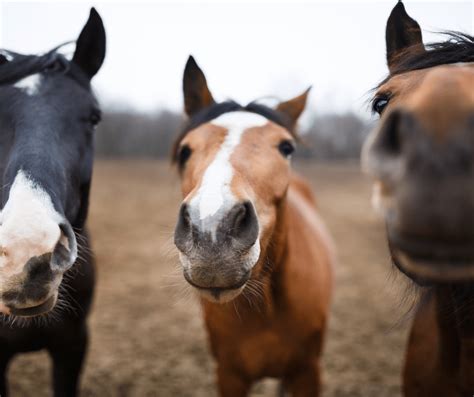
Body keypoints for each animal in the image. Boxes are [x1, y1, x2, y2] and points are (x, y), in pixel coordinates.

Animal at [171, 56, 334, 396]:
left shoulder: (308, 372)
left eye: (286, 147)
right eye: (185, 150)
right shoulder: (229, 375)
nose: (212, 231)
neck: (266, 309)